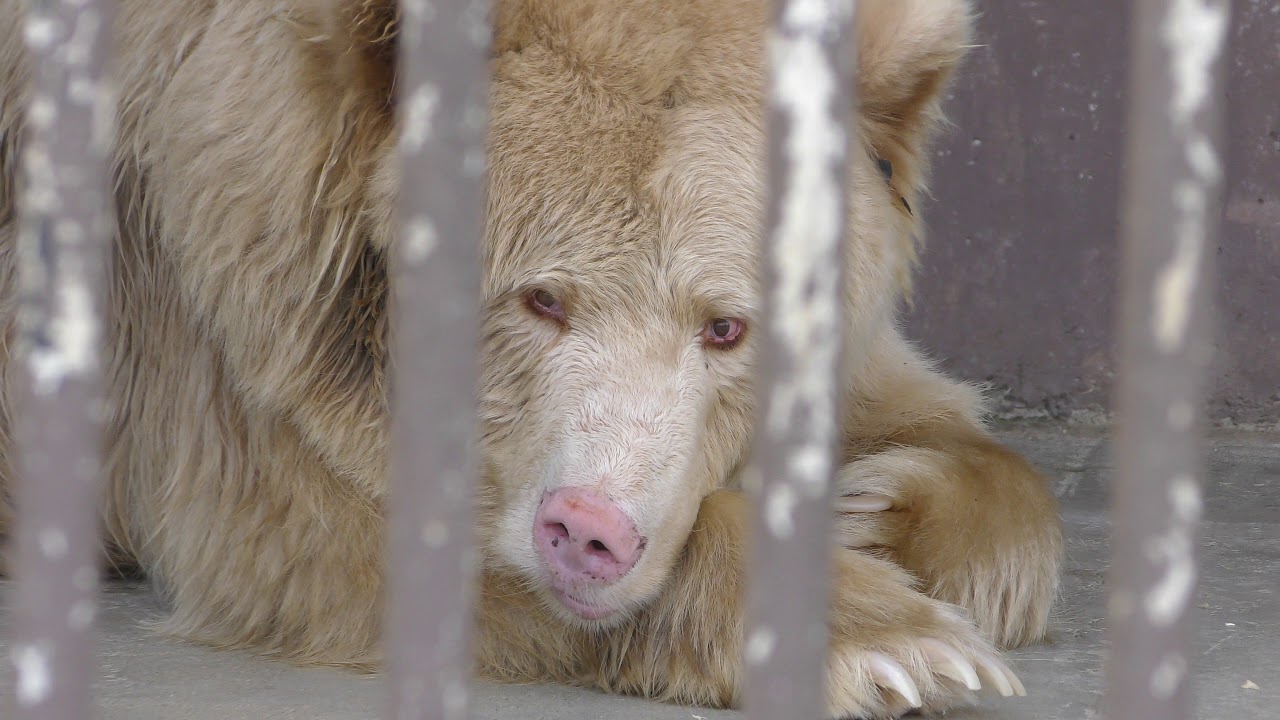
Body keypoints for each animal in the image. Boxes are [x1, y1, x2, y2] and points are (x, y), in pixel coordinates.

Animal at [0, 0, 1065, 717]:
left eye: (726, 326)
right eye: (540, 297)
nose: (590, 531)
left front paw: (874, 510)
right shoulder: (226, 294)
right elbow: (329, 537)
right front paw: (897, 646)